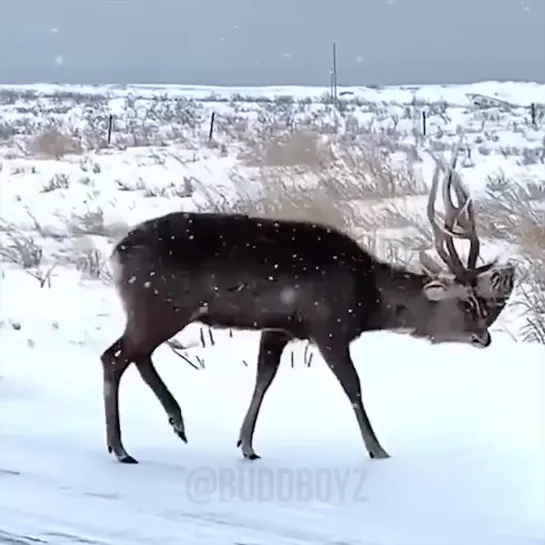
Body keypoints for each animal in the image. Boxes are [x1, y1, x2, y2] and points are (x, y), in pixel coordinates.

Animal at [101, 146, 516, 464]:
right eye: (468, 303)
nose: (484, 338)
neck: (368, 298)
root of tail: (116, 253)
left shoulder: (279, 328)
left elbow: (263, 378)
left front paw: (247, 444)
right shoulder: (328, 327)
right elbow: (353, 386)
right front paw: (378, 450)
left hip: (155, 310)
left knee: (135, 355)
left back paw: (174, 423)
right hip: (161, 304)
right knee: (115, 356)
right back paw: (122, 448)